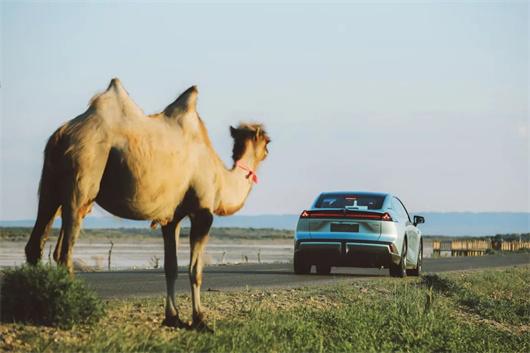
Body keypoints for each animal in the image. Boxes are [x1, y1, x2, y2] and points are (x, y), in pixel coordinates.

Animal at [24, 78, 268, 328]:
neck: (220, 178)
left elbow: (171, 267)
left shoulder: (171, 218)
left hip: (51, 184)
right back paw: (73, 312)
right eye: (267, 142)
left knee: (37, 243)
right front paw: (199, 320)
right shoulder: (203, 211)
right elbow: (195, 269)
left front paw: (173, 317)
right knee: (64, 252)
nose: (268, 150)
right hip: (83, 173)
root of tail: (62, 134)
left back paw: (36, 306)